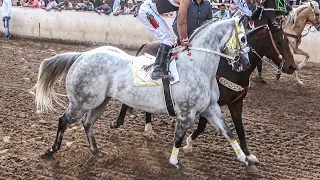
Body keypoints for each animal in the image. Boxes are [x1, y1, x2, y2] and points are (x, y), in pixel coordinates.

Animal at [34, 17, 255, 171]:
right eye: (243, 38)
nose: (246, 64)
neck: (198, 66)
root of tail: (81, 56)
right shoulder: (186, 113)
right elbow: (178, 137)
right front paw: (174, 161)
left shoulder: (210, 108)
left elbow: (228, 131)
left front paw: (244, 158)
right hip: (81, 102)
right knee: (64, 120)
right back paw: (51, 150)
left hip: (99, 101)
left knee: (87, 123)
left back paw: (96, 150)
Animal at [111, 19, 296, 173]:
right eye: (279, 41)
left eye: (288, 41)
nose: (291, 66)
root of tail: (147, 44)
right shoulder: (208, 105)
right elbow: (201, 127)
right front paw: (188, 144)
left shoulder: (236, 103)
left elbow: (240, 129)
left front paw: (248, 155)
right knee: (127, 102)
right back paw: (122, 123)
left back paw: (148, 128)